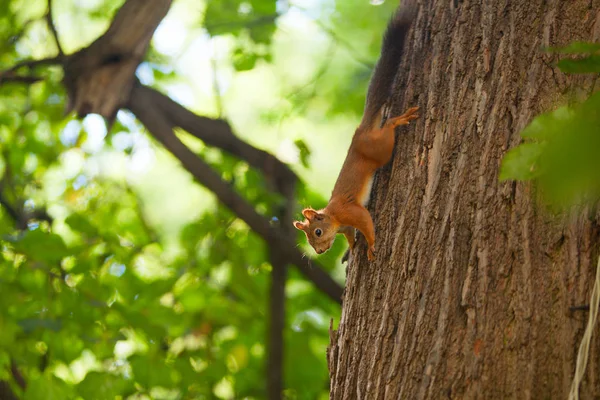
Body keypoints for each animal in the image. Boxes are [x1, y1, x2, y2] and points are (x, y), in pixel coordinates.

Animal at [294, 7, 418, 262]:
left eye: (317, 232)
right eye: (309, 240)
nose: (320, 251)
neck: (334, 217)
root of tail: (360, 133)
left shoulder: (350, 212)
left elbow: (365, 222)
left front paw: (370, 244)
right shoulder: (346, 226)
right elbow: (351, 235)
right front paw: (352, 247)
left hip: (379, 148)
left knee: (388, 129)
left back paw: (397, 120)